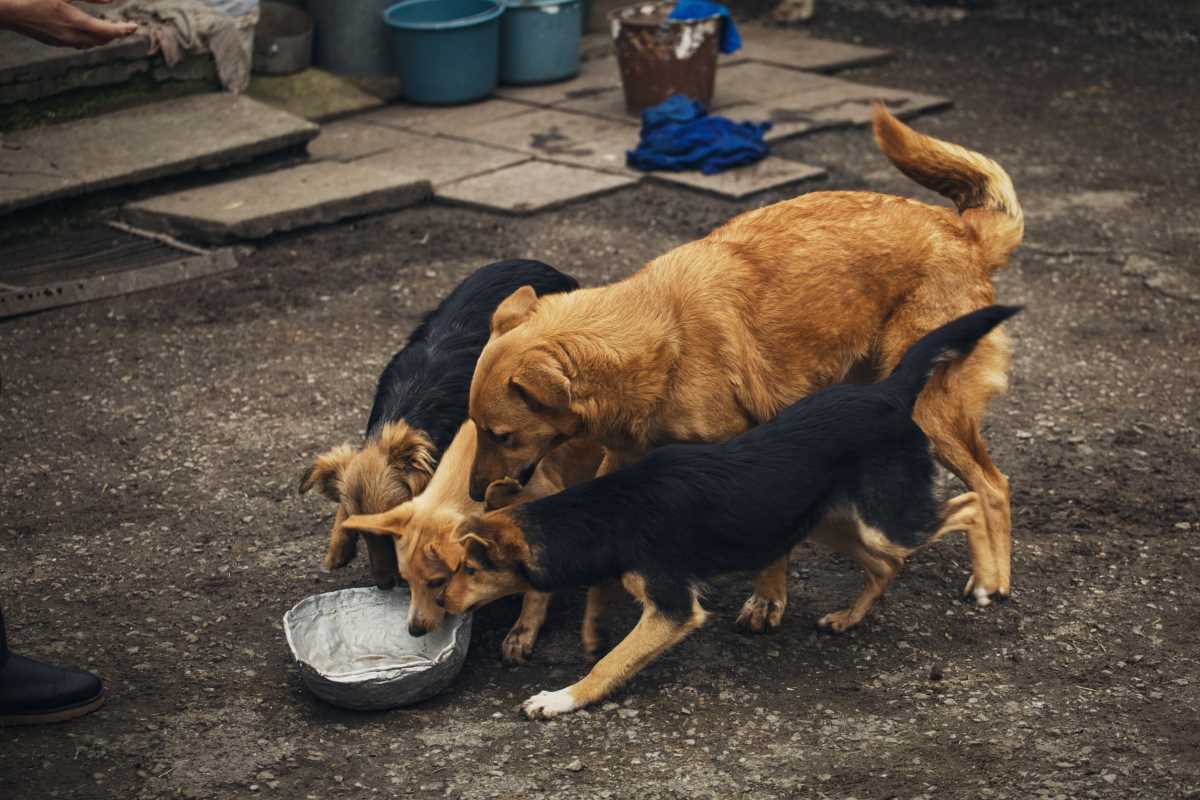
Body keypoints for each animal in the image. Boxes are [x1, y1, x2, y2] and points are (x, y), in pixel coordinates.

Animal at [302, 261, 578, 587]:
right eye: (363, 532)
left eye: (392, 532)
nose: (385, 584)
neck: (411, 406)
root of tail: (537, 264)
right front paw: (339, 543)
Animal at [441, 307, 1022, 719]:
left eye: (470, 568)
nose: (441, 607)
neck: (609, 511)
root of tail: (888, 392)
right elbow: (600, 616)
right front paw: (590, 632)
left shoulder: (672, 610)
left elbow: (610, 666)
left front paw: (559, 698)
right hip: (832, 520)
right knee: (886, 564)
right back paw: (847, 618)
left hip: (888, 518)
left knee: (972, 502)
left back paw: (988, 581)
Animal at [463, 103, 1027, 628]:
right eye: (476, 429)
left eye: (503, 435)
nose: (474, 493)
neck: (661, 337)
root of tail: (963, 232)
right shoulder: (624, 456)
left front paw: (768, 599)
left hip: (934, 411)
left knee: (992, 484)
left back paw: (991, 581)